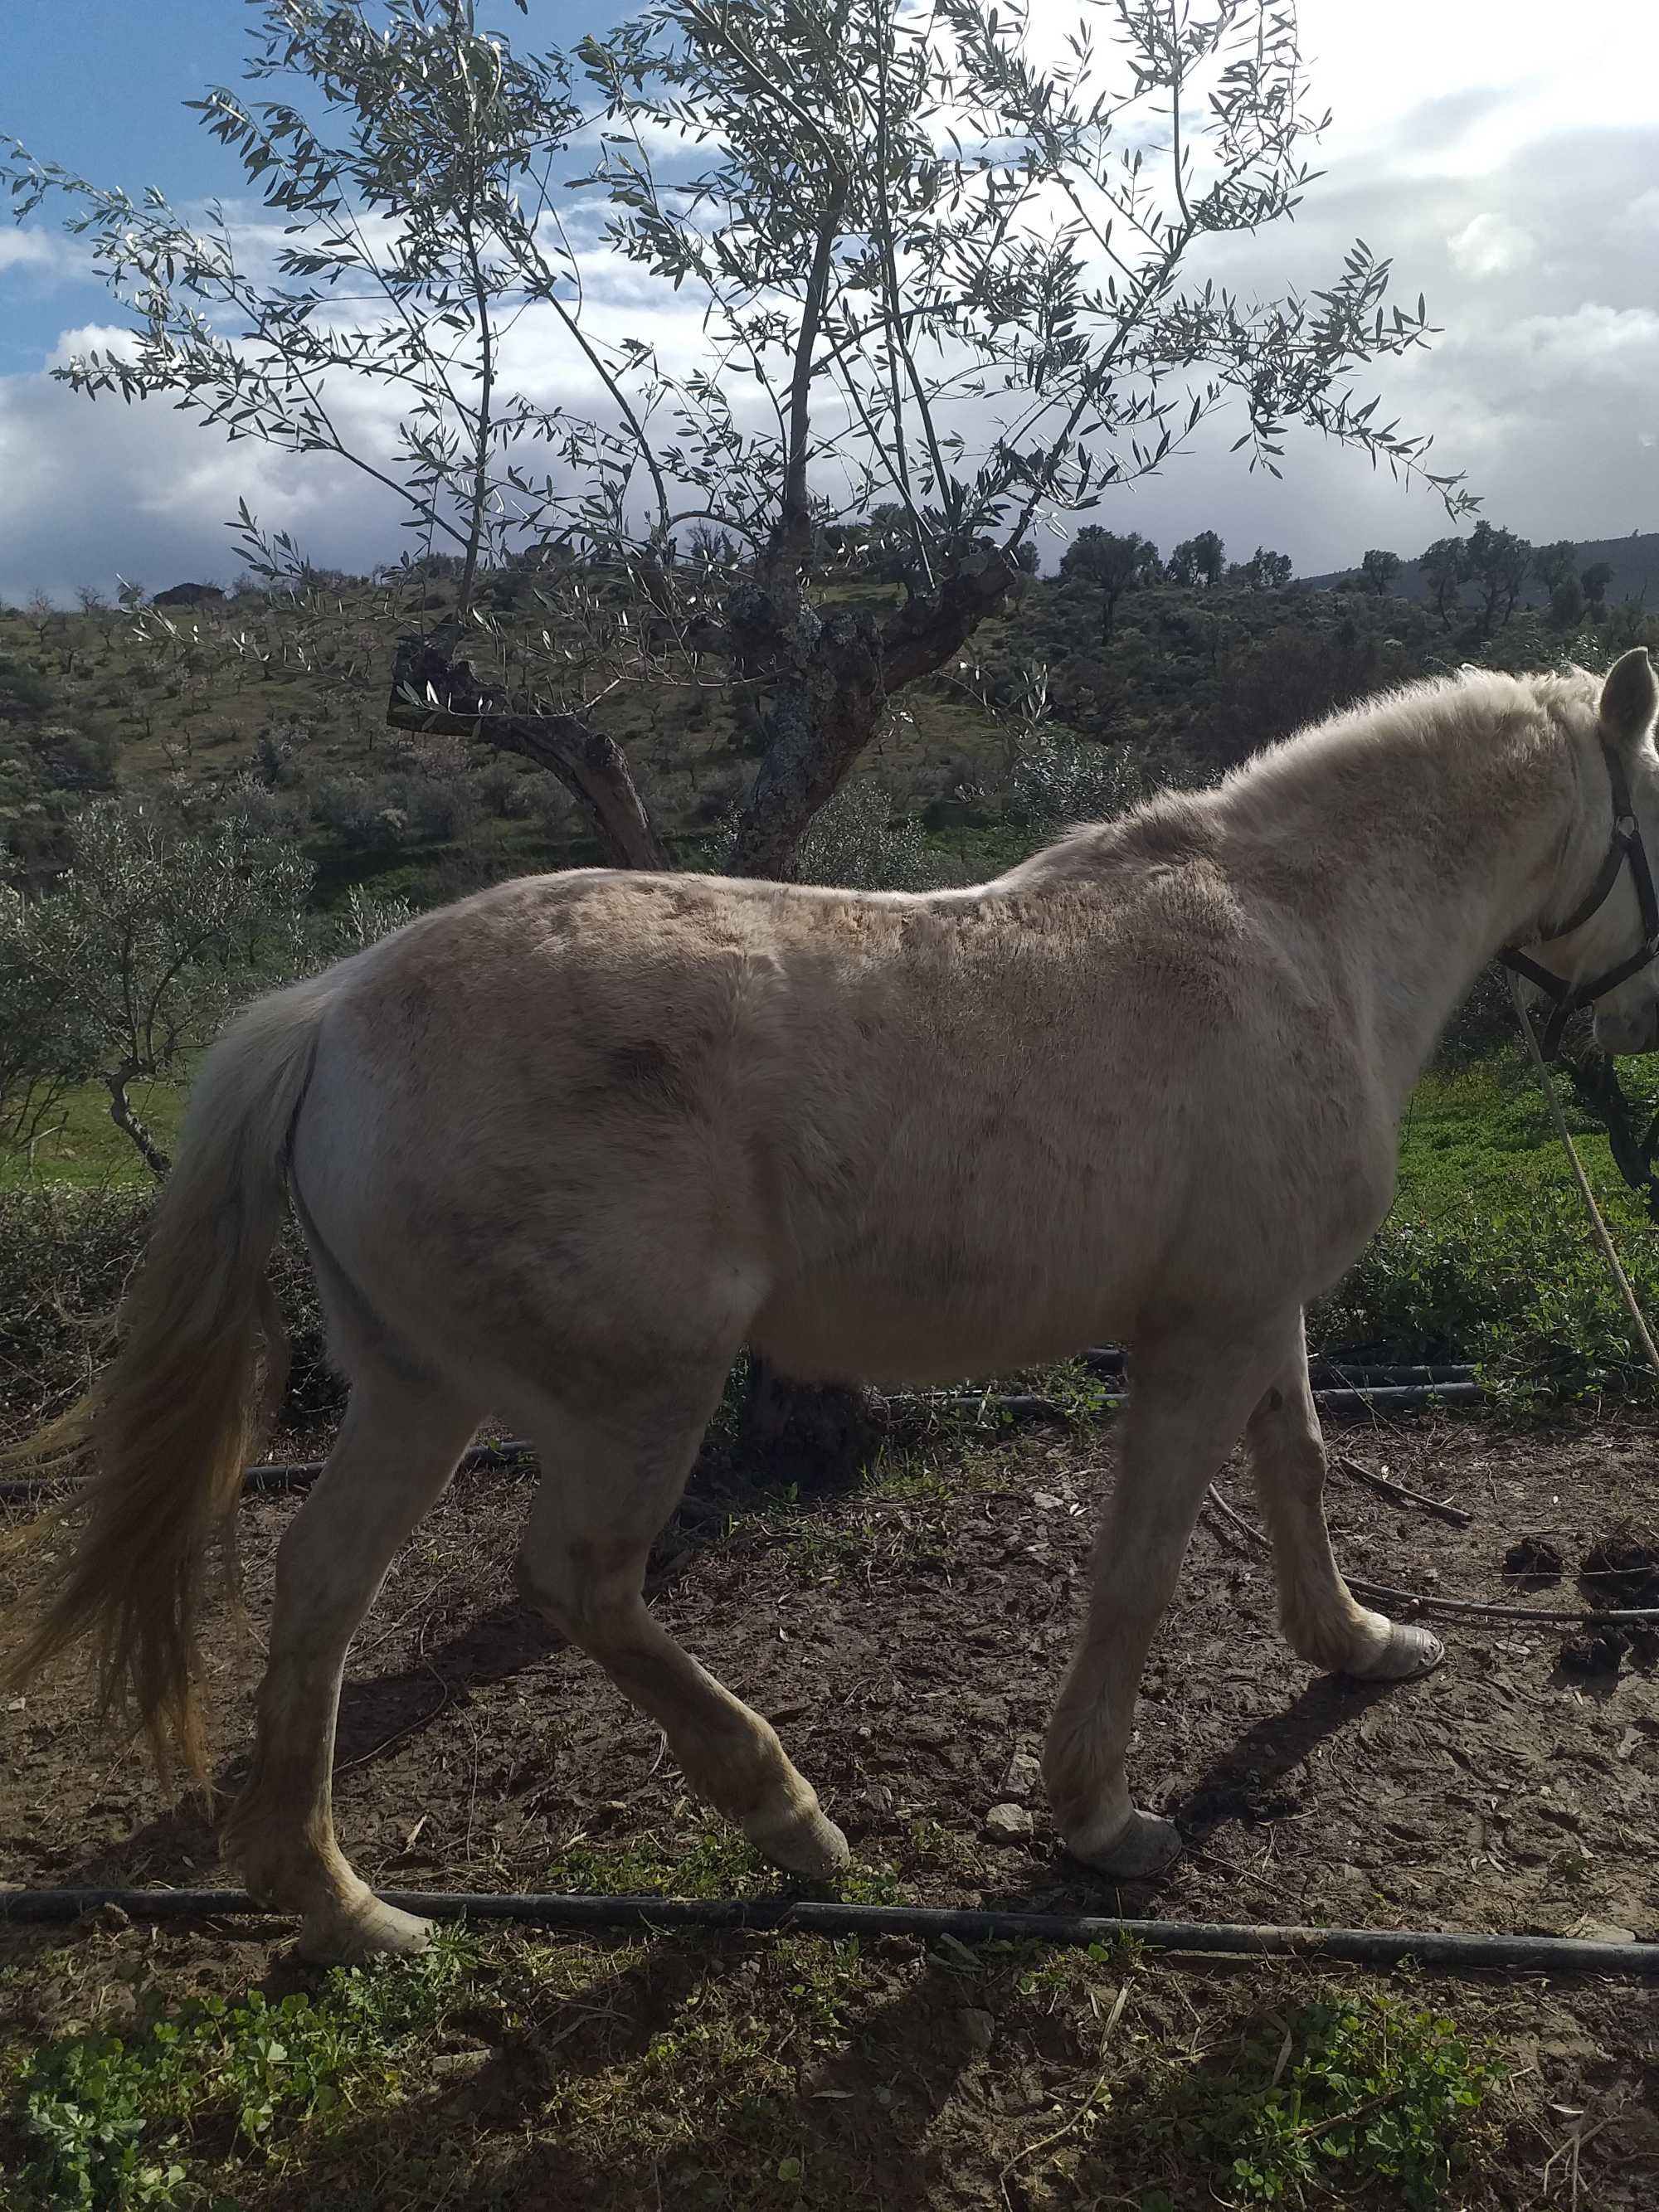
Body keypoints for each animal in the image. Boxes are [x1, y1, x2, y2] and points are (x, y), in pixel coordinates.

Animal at [2, 645, 1659, 1955]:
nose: (1633, 1014)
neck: (1300, 935)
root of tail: (335, 1008)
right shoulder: (1202, 1334)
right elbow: (1141, 1567)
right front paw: (1102, 1816)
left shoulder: (1261, 1307)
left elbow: (1302, 1467)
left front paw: (1361, 1645)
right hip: (635, 1392)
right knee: (576, 1578)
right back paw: (786, 1816)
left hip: (421, 1387)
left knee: (321, 1585)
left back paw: (341, 1903)